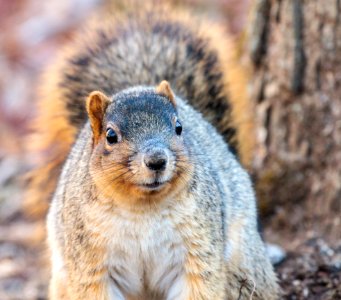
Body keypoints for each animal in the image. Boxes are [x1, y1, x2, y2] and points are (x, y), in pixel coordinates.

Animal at [26, 4, 278, 300]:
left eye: (179, 127)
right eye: (110, 136)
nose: (157, 160)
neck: (143, 209)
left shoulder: (198, 249)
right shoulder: (90, 259)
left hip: (245, 265)